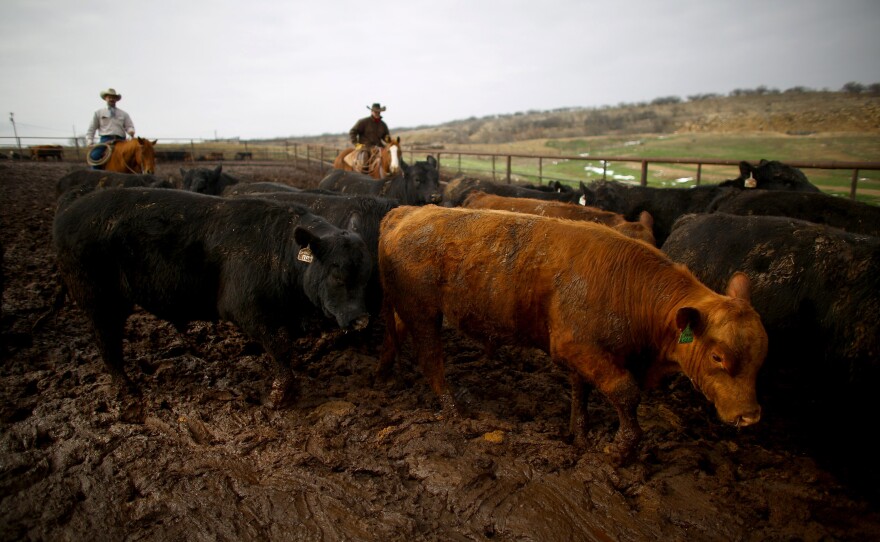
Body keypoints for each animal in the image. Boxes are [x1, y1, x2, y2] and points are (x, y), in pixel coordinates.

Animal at [54, 190, 372, 408]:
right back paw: (128, 391)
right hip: (97, 298)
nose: (361, 319)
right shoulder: (246, 309)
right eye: (337, 274)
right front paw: (277, 397)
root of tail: (66, 212)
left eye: (367, 273)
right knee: (106, 340)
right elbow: (279, 346)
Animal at [382, 206, 768, 466]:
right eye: (718, 356)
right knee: (431, 359)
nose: (750, 416)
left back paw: (388, 373)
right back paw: (453, 410)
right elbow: (625, 393)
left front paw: (579, 434)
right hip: (422, 311)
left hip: (406, 310)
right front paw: (620, 449)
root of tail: (410, 211)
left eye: (760, 358)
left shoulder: (585, 352)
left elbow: (580, 390)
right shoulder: (577, 347)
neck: (630, 288)